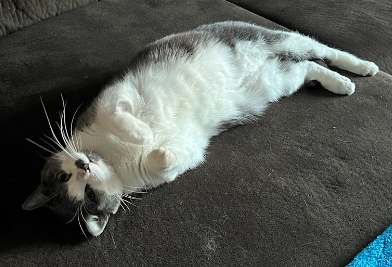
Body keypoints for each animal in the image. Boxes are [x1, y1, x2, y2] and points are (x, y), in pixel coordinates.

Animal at [21, 22, 376, 238]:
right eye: (87, 195)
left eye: (64, 176)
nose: (83, 165)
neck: (112, 159)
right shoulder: (185, 153)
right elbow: (169, 160)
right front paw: (158, 148)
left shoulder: (112, 97)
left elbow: (118, 115)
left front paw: (142, 134)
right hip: (279, 81)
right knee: (308, 68)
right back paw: (341, 84)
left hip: (272, 38)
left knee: (323, 50)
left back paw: (364, 68)